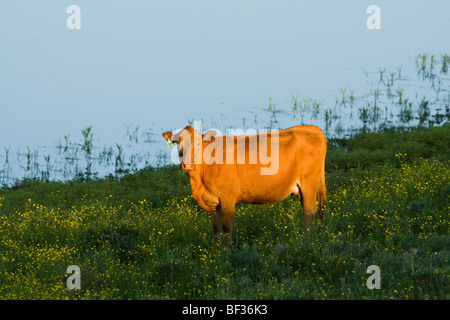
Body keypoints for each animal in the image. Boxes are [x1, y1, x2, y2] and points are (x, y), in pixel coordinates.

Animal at [162, 124, 326, 248]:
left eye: (197, 144)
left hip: (309, 184)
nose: (187, 165)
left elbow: (227, 226)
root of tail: (311, 128)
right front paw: (216, 252)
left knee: (309, 212)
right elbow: (215, 227)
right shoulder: (213, 201)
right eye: (178, 143)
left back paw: (307, 241)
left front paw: (228, 251)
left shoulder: (227, 198)